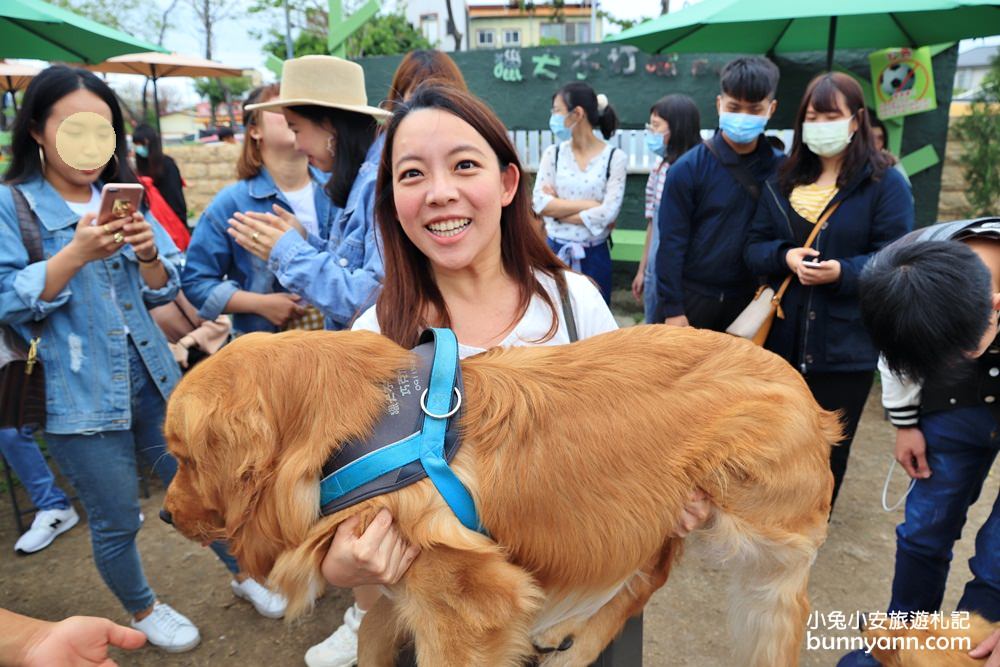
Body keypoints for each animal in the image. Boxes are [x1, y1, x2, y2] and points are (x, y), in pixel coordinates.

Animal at [162, 326, 836, 664]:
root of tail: (801, 385)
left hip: (761, 536)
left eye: (184, 457)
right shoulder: (403, 583)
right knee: (649, 572)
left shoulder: (467, 603)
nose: (165, 514)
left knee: (779, 607)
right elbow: (374, 637)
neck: (359, 425)